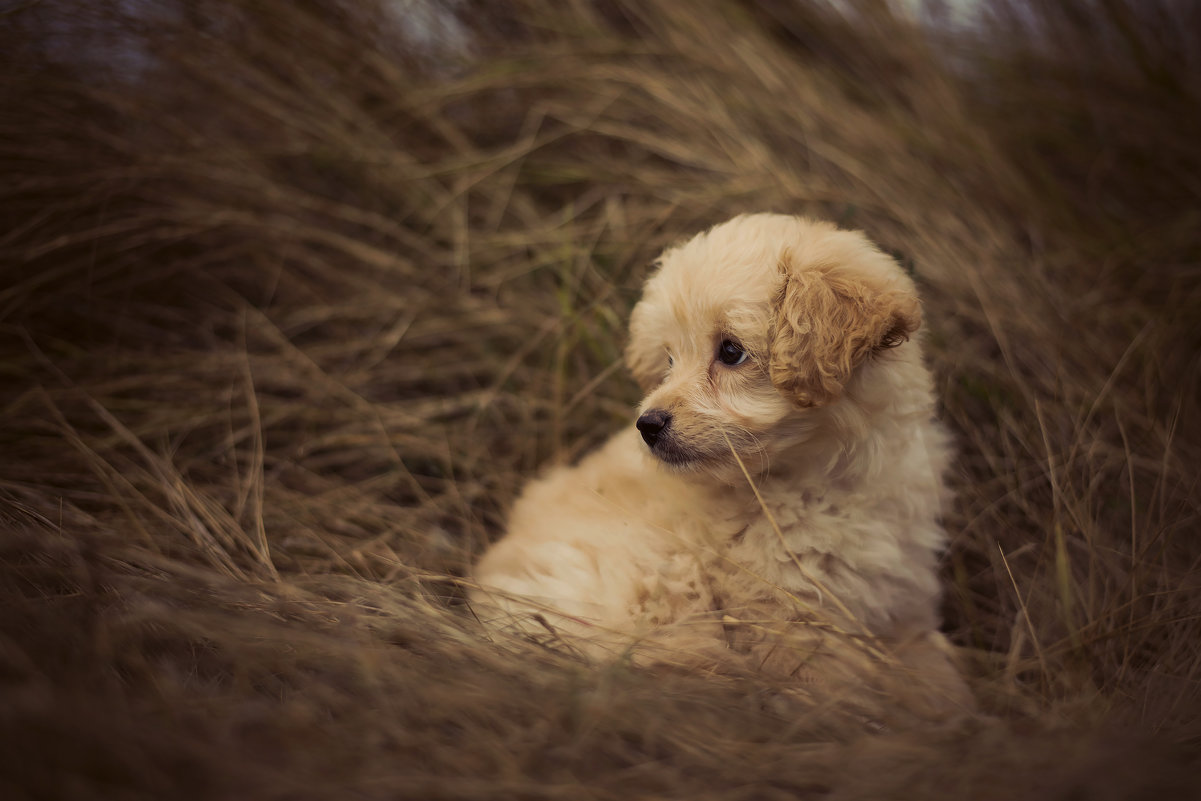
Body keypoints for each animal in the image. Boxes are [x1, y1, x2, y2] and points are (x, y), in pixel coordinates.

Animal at [468, 214, 965, 715]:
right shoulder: (792, 625)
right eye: (669, 359)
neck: (820, 482)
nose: (647, 425)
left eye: (730, 352)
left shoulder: (900, 598)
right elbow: (827, 690)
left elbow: (929, 670)